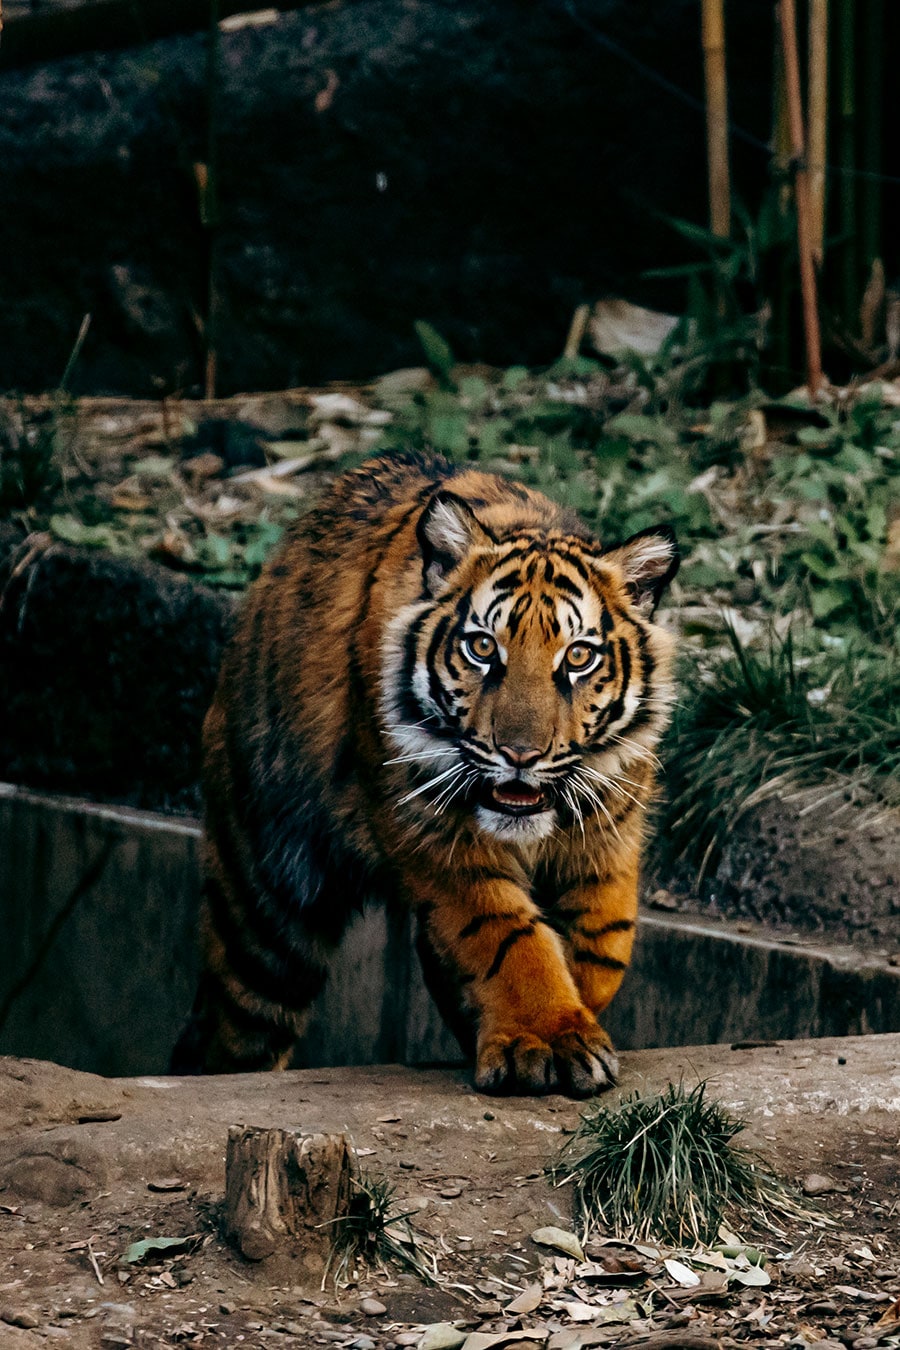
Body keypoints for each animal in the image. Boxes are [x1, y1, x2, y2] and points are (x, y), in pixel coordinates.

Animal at [170, 453, 674, 1096]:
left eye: (579, 657)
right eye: (482, 648)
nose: (520, 754)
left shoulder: (609, 831)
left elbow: (606, 942)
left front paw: (566, 1013)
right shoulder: (435, 838)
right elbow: (508, 936)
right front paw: (550, 1035)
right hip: (265, 902)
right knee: (235, 1026)